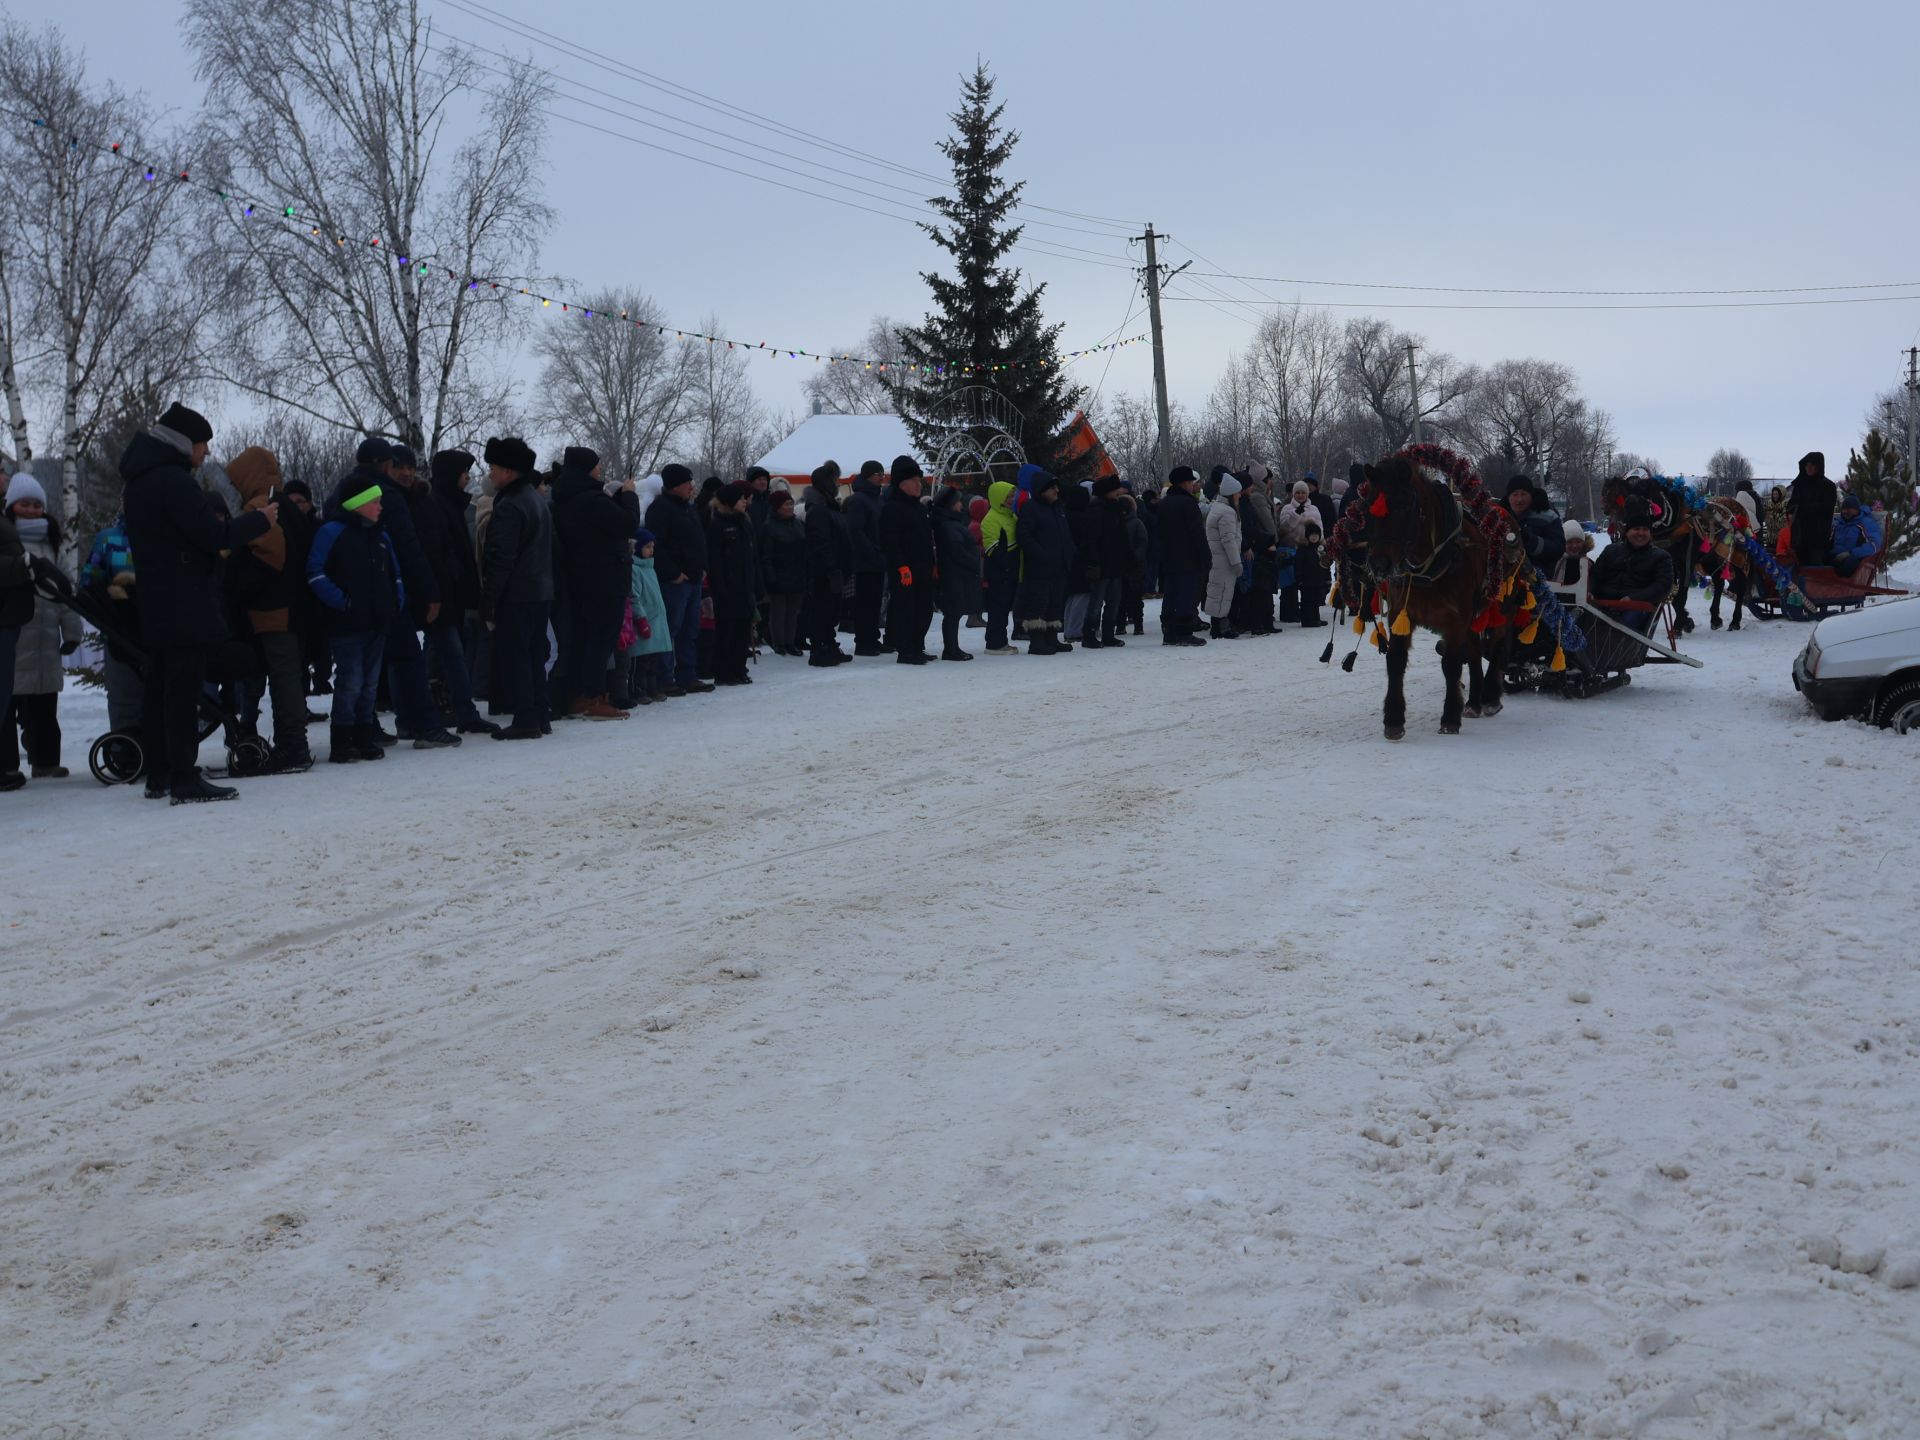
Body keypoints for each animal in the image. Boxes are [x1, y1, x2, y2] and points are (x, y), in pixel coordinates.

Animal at [1351, 453, 1512, 744]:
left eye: (1404, 505)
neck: (1433, 563)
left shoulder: (1456, 619)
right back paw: (1474, 701)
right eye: (1369, 507)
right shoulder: (1400, 613)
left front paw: (1450, 717)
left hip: (1499, 605)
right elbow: (1396, 661)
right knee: (1474, 652)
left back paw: (1491, 697)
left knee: (1497, 646)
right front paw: (1393, 719)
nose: (1378, 565)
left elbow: (1450, 664)